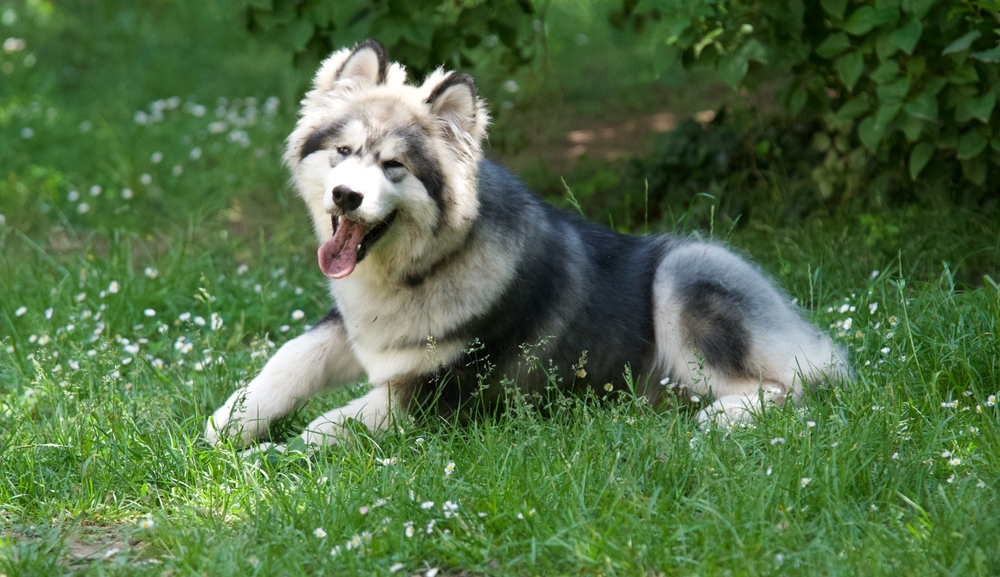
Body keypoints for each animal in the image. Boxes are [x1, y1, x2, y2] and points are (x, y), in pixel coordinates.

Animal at [205, 40, 852, 448]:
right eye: (343, 152)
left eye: (393, 166)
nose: (345, 197)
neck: (422, 268)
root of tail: (805, 326)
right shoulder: (352, 327)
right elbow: (289, 358)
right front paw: (228, 421)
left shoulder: (435, 392)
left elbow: (331, 425)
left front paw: (277, 456)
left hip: (689, 271)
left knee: (798, 383)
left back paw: (721, 419)